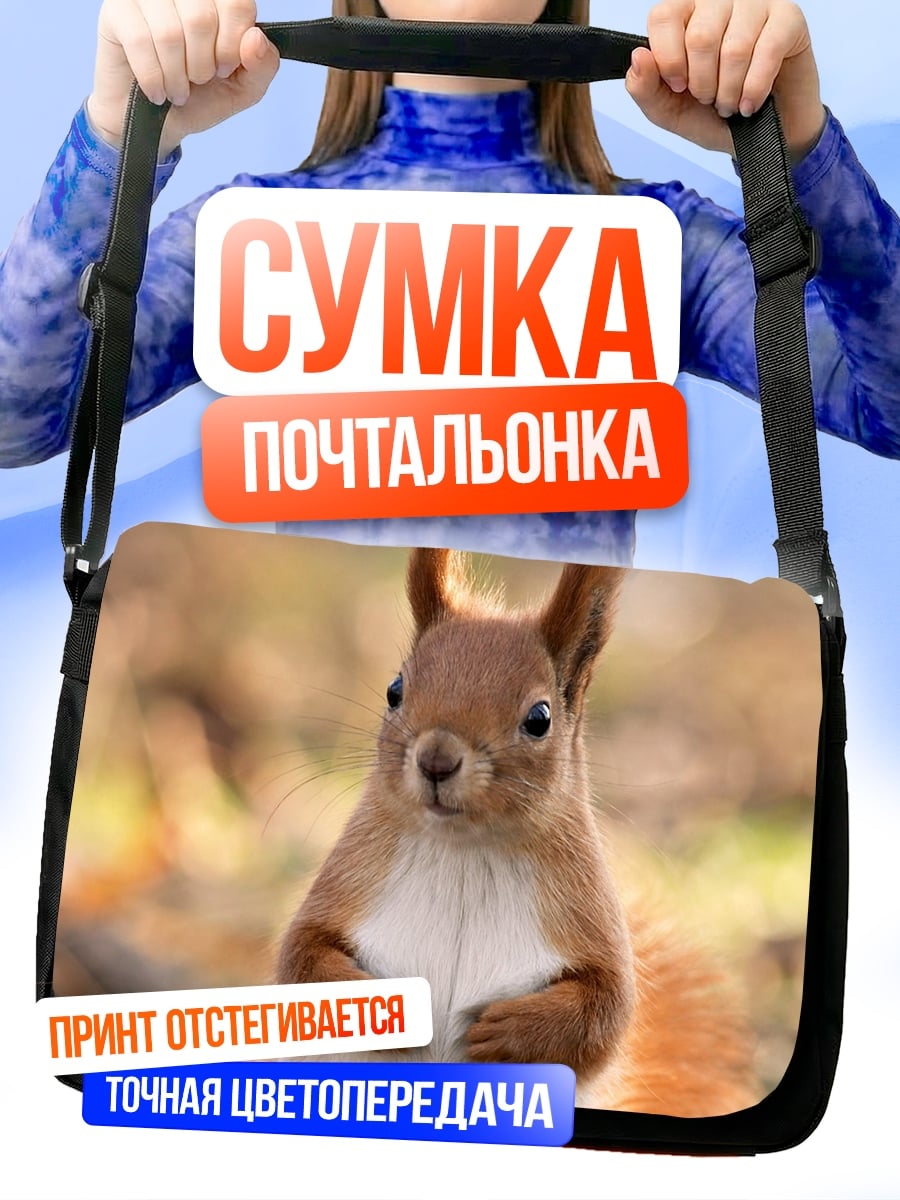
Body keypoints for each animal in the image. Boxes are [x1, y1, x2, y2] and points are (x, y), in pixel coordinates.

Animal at [277, 548, 756, 1116]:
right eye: (395, 690)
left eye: (539, 717)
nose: (437, 759)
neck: (463, 851)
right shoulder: (350, 881)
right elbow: (301, 959)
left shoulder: (586, 917)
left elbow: (607, 1008)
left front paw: (506, 1032)